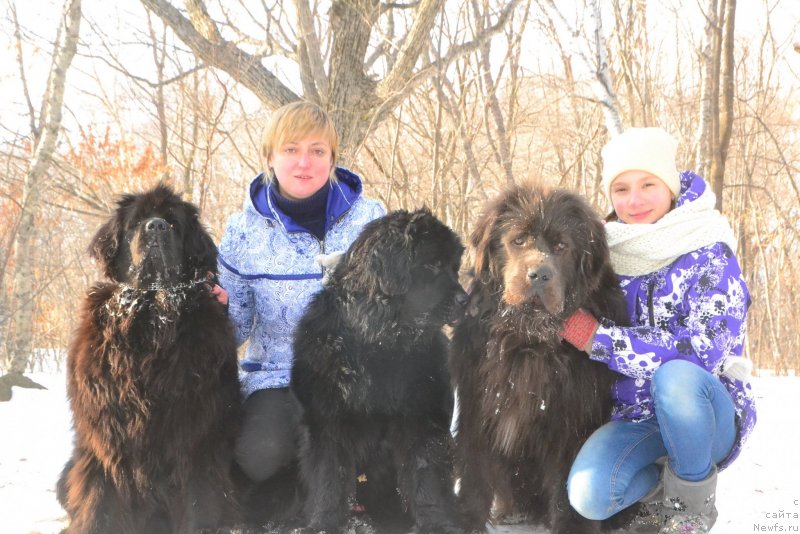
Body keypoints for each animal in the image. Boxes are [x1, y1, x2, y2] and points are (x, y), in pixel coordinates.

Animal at [56, 185, 241, 534]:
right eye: (136, 223)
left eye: (173, 223)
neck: (152, 313)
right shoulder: (104, 441)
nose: (155, 227)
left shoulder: (195, 441)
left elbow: (198, 502)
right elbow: (99, 504)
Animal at [292, 209, 468, 534]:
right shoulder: (327, 420)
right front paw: (323, 522)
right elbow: (329, 477)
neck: (381, 342)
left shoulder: (422, 418)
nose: (466, 301)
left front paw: (436, 522)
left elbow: (425, 475)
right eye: (432, 265)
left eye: (455, 267)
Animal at [450, 185, 624, 534]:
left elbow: (568, 483)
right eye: (518, 240)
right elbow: (475, 469)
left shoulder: (574, 416)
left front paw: (573, 527)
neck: (527, 338)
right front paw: (468, 520)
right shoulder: (478, 408)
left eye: (561, 246)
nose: (540, 275)